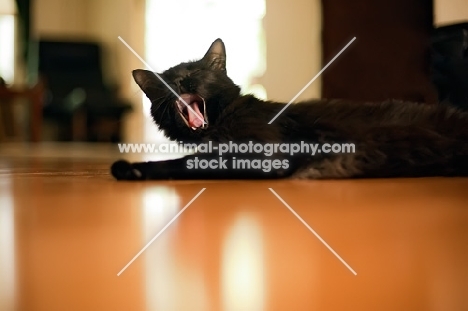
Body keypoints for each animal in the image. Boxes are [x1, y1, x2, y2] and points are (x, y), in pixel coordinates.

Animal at [110, 39, 468, 182]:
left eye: (198, 73)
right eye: (169, 82)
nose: (184, 81)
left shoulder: (265, 151)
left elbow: (188, 162)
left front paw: (131, 168)